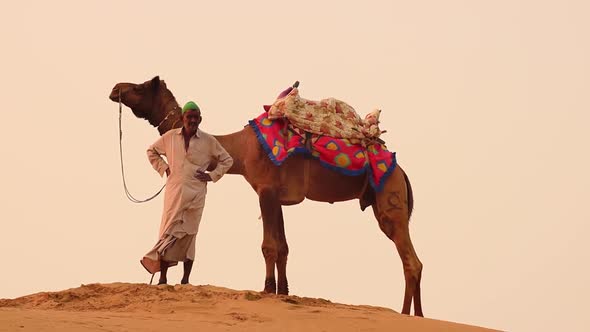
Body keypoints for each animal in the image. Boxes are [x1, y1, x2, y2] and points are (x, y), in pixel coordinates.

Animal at [108, 76, 426, 316]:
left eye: (139, 87)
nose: (115, 89)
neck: (241, 149)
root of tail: (401, 172)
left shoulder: (266, 190)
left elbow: (269, 246)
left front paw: (266, 289)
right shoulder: (279, 197)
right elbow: (283, 247)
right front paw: (283, 291)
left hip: (390, 196)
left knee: (411, 260)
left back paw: (411, 315)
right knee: (411, 261)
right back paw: (411, 314)